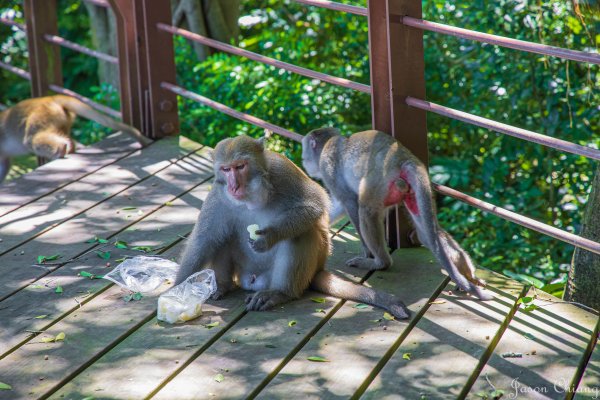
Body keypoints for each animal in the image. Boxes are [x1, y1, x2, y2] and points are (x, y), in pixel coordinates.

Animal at [0, 94, 152, 182]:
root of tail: (50, 98)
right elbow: (4, 165)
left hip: (40, 115)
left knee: (31, 140)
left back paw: (61, 149)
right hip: (59, 117)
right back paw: (69, 146)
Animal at [176, 134, 410, 318]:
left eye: (240, 166)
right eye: (225, 169)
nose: (234, 186)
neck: (251, 197)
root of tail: (253, 280)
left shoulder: (282, 173)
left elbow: (316, 203)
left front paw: (269, 237)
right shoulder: (217, 197)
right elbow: (204, 240)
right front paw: (179, 289)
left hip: (303, 268)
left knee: (301, 233)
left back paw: (280, 293)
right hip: (243, 271)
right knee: (221, 237)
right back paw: (224, 286)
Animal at [300, 128, 492, 300]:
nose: (303, 159)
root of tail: (406, 159)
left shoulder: (328, 167)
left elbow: (350, 201)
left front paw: (367, 253)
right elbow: (340, 205)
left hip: (379, 180)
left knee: (367, 210)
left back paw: (380, 262)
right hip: (415, 191)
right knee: (427, 233)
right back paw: (464, 268)